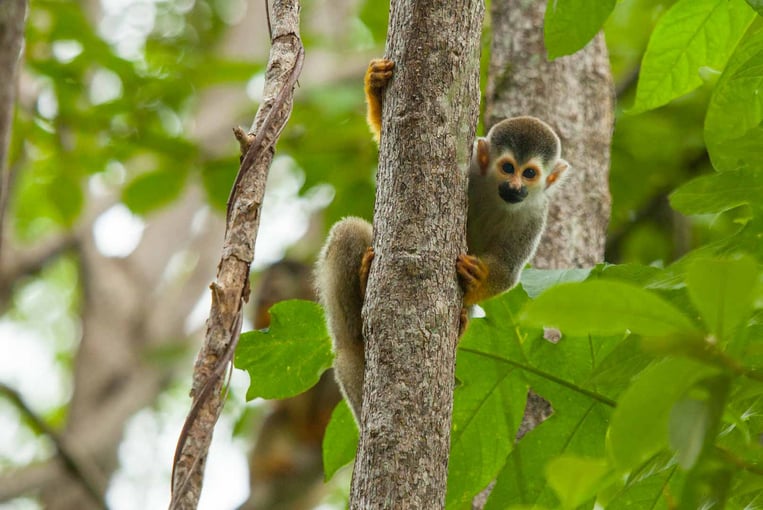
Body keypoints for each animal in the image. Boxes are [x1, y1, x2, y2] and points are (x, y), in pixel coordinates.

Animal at [314, 58, 572, 422]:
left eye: (531, 173)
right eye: (508, 168)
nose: (515, 188)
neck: (496, 196)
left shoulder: (535, 216)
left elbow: (507, 272)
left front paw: (477, 277)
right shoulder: (472, 169)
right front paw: (376, 89)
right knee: (348, 233)